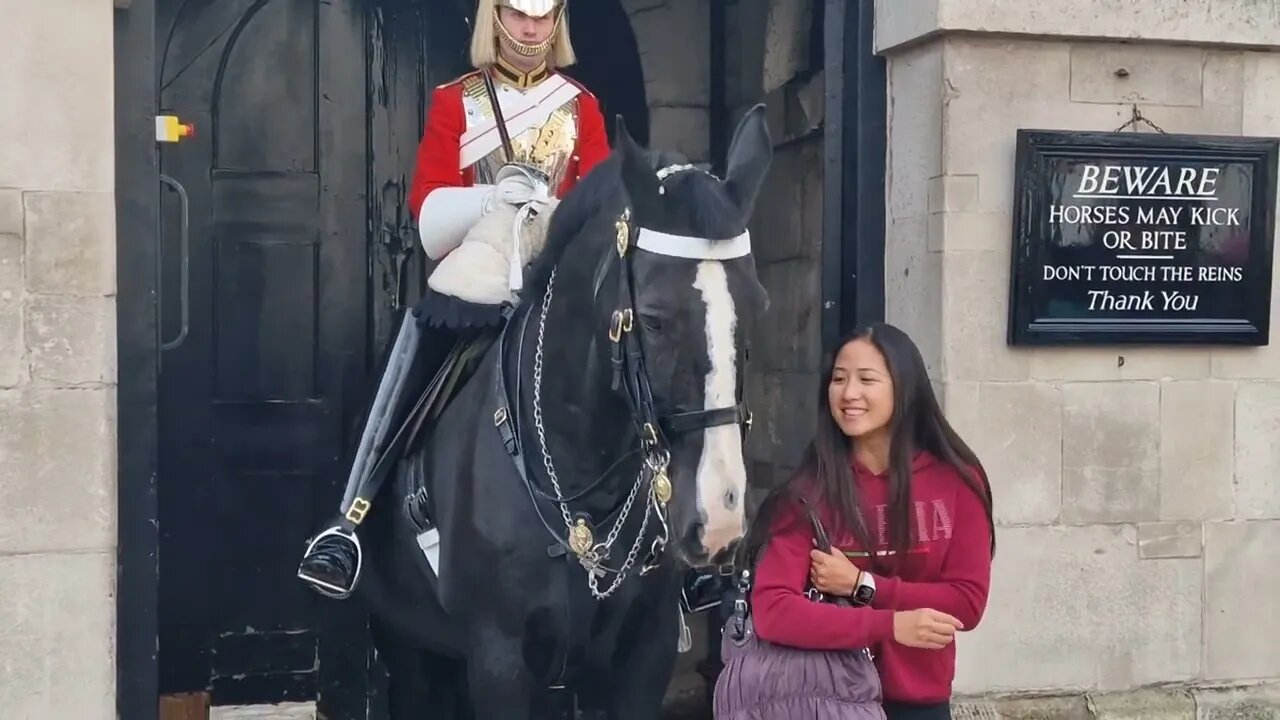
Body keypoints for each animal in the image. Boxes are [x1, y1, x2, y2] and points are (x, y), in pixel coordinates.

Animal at [353, 103, 768, 712]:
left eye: (757, 308)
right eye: (653, 319)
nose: (719, 519)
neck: (584, 487)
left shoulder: (644, 656)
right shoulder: (499, 661)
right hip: (406, 647)